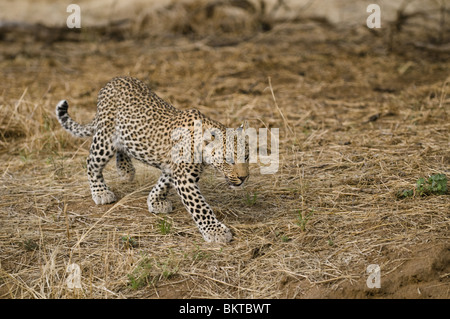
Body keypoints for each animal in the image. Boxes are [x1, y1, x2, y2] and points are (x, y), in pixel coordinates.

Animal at [56, 76, 250, 244]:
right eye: (228, 160)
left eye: (247, 156)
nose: (244, 178)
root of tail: (112, 81)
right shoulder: (184, 177)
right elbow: (200, 206)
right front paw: (215, 231)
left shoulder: (174, 168)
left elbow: (163, 182)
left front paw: (155, 201)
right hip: (105, 138)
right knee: (92, 162)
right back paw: (101, 192)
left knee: (122, 147)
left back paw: (125, 170)